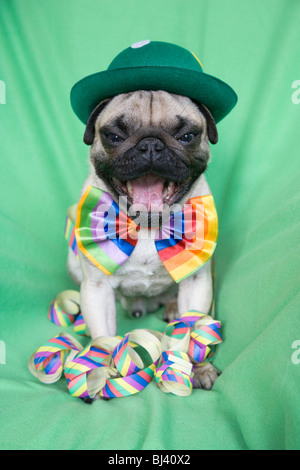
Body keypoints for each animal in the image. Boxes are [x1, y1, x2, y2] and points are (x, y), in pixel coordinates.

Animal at [67, 89, 219, 390]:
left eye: (187, 136)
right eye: (114, 136)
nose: (150, 145)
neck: (148, 226)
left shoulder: (197, 282)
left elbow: (194, 326)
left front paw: (197, 368)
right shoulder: (97, 289)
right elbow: (103, 338)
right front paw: (99, 375)